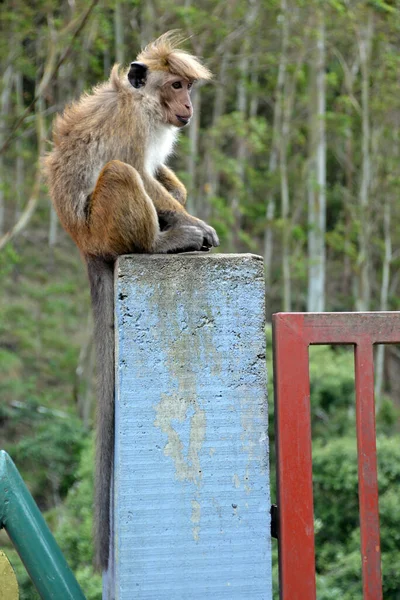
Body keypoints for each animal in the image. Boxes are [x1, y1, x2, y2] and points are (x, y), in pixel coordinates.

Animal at [44, 29, 219, 572]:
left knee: (159, 177)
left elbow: (160, 173)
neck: (144, 103)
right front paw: (195, 225)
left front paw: (185, 206)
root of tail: (83, 242)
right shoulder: (132, 125)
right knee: (123, 173)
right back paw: (164, 241)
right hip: (104, 224)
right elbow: (138, 170)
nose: (188, 106)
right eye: (176, 84)